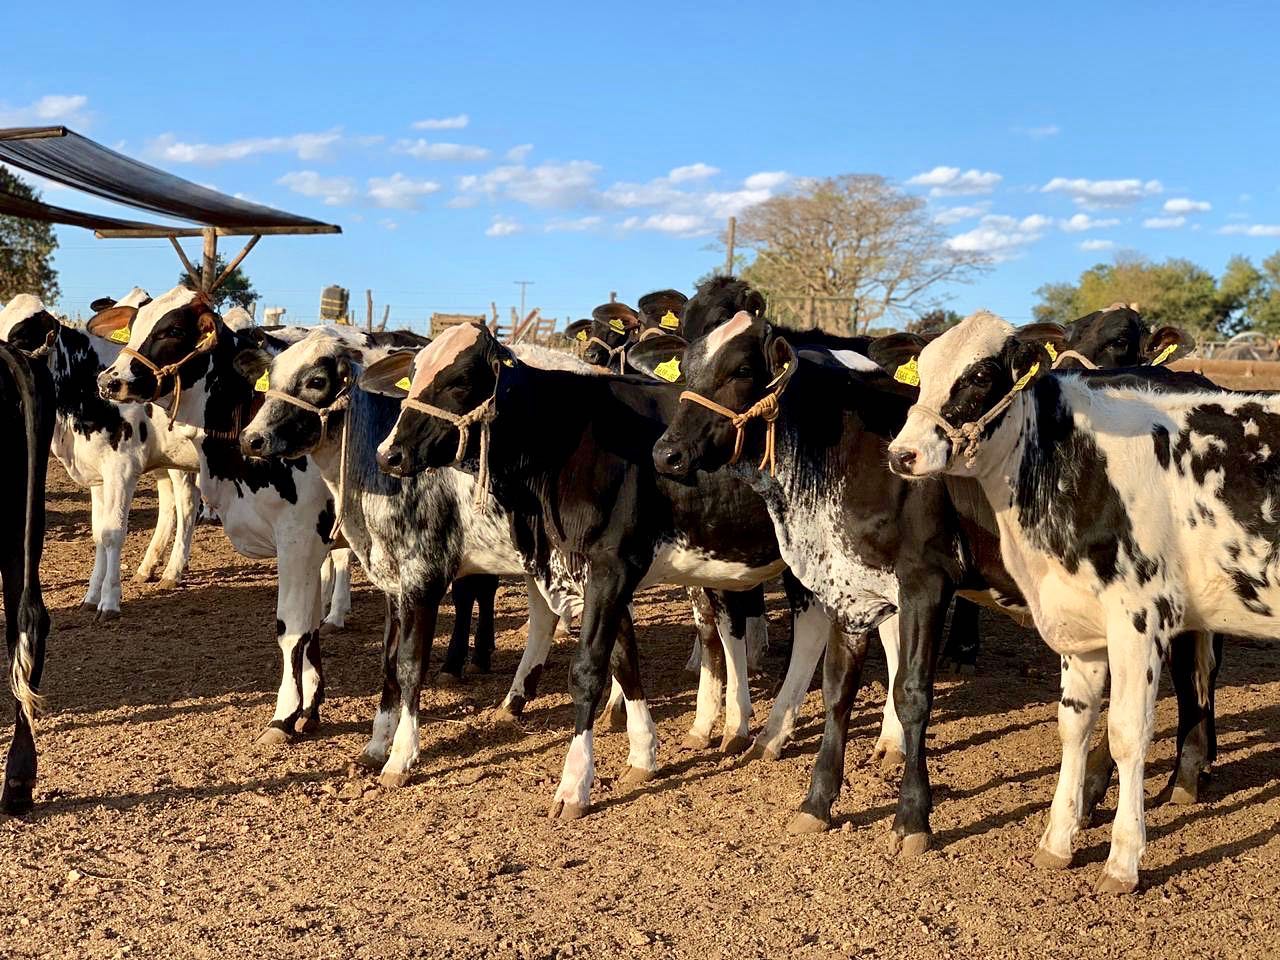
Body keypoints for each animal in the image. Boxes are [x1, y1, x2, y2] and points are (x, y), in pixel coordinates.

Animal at [0, 291, 198, 616]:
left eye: (20, 336)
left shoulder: (122, 469)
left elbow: (113, 532)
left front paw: (110, 600)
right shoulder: (99, 475)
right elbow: (98, 533)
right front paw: (92, 594)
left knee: (187, 505)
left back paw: (173, 571)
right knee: (171, 503)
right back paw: (149, 567)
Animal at [92, 289, 350, 747]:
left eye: (173, 330)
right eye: (136, 324)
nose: (109, 380)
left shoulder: (299, 537)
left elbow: (292, 628)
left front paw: (283, 717)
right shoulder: (312, 546)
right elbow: (310, 629)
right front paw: (310, 710)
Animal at [371, 323, 808, 819]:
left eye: (461, 379)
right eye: (413, 373)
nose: (389, 454)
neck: (571, 438)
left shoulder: (611, 566)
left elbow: (587, 670)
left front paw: (574, 784)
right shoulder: (589, 568)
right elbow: (624, 661)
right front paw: (643, 755)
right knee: (735, 629)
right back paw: (735, 728)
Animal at [885, 309, 1254, 896]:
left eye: (980, 376)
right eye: (922, 372)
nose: (903, 453)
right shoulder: (917, 575)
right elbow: (910, 688)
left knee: (1191, 674)